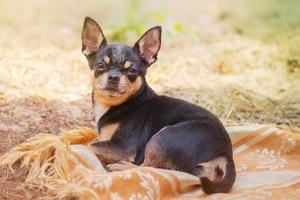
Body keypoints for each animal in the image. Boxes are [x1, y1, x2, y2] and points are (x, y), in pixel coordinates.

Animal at [82, 16, 237, 195]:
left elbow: (89, 145)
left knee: (148, 167)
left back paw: (119, 167)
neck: (116, 104)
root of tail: (224, 153)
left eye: (131, 71)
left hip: (161, 137)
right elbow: (93, 141)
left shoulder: (124, 147)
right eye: (100, 65)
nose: (113, 77)